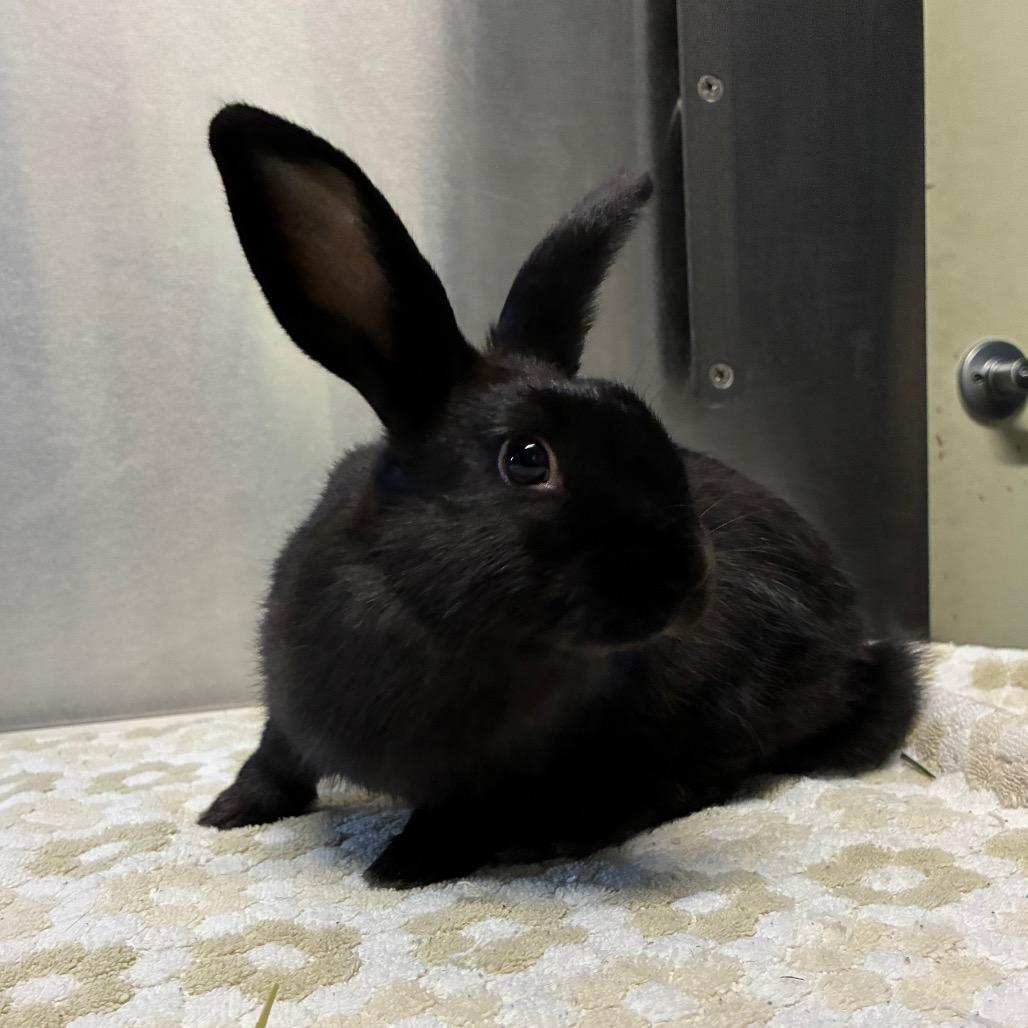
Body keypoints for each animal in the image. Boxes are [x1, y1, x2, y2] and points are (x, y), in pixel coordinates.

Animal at [198, 104, 921, 887]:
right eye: (526, 459)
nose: (688, 580)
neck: (443, 618)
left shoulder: (499, 775)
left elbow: (455, 816)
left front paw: (401, 868)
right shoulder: (288, 707)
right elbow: (275, 761)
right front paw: (225, 813)